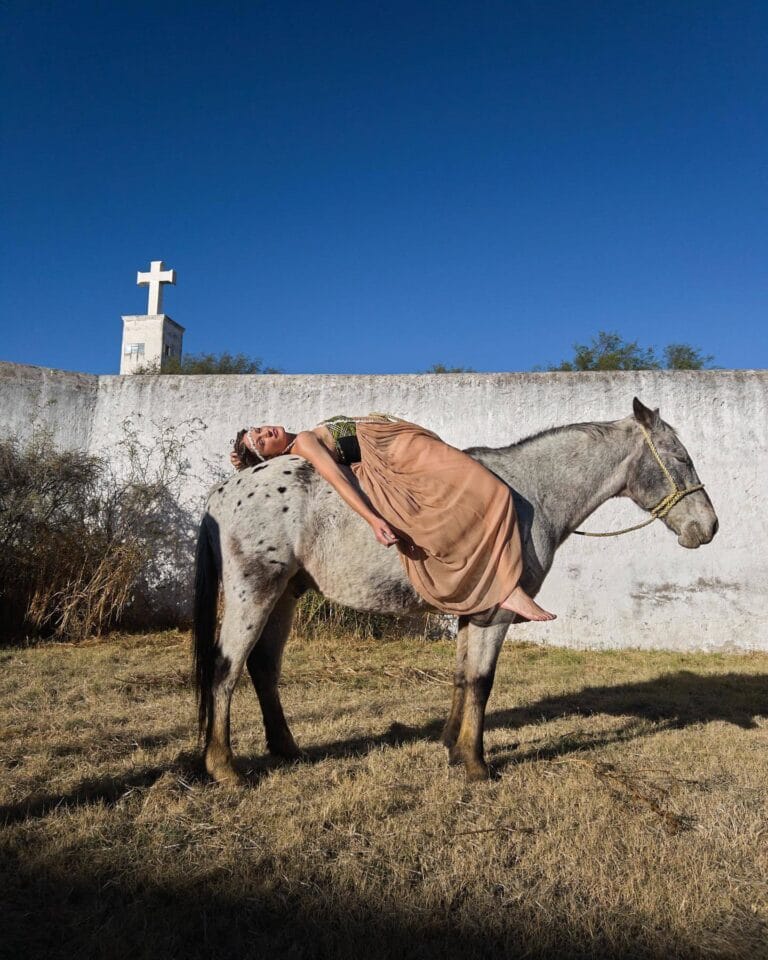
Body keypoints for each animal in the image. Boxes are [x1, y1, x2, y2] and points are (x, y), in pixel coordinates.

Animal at [193, 398, 718, 783]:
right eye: (681, 458)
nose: (708, 527)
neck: (532, 494)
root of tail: (223, 492)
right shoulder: (496, 613)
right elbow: (483, 681)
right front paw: (475, 764)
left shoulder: (474, 610)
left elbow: (464, 677)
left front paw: (451, 747)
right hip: (254, 592)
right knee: (226, 668)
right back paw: (224, 768)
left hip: (284, 595)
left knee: (263, 668)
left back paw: (286, 750)